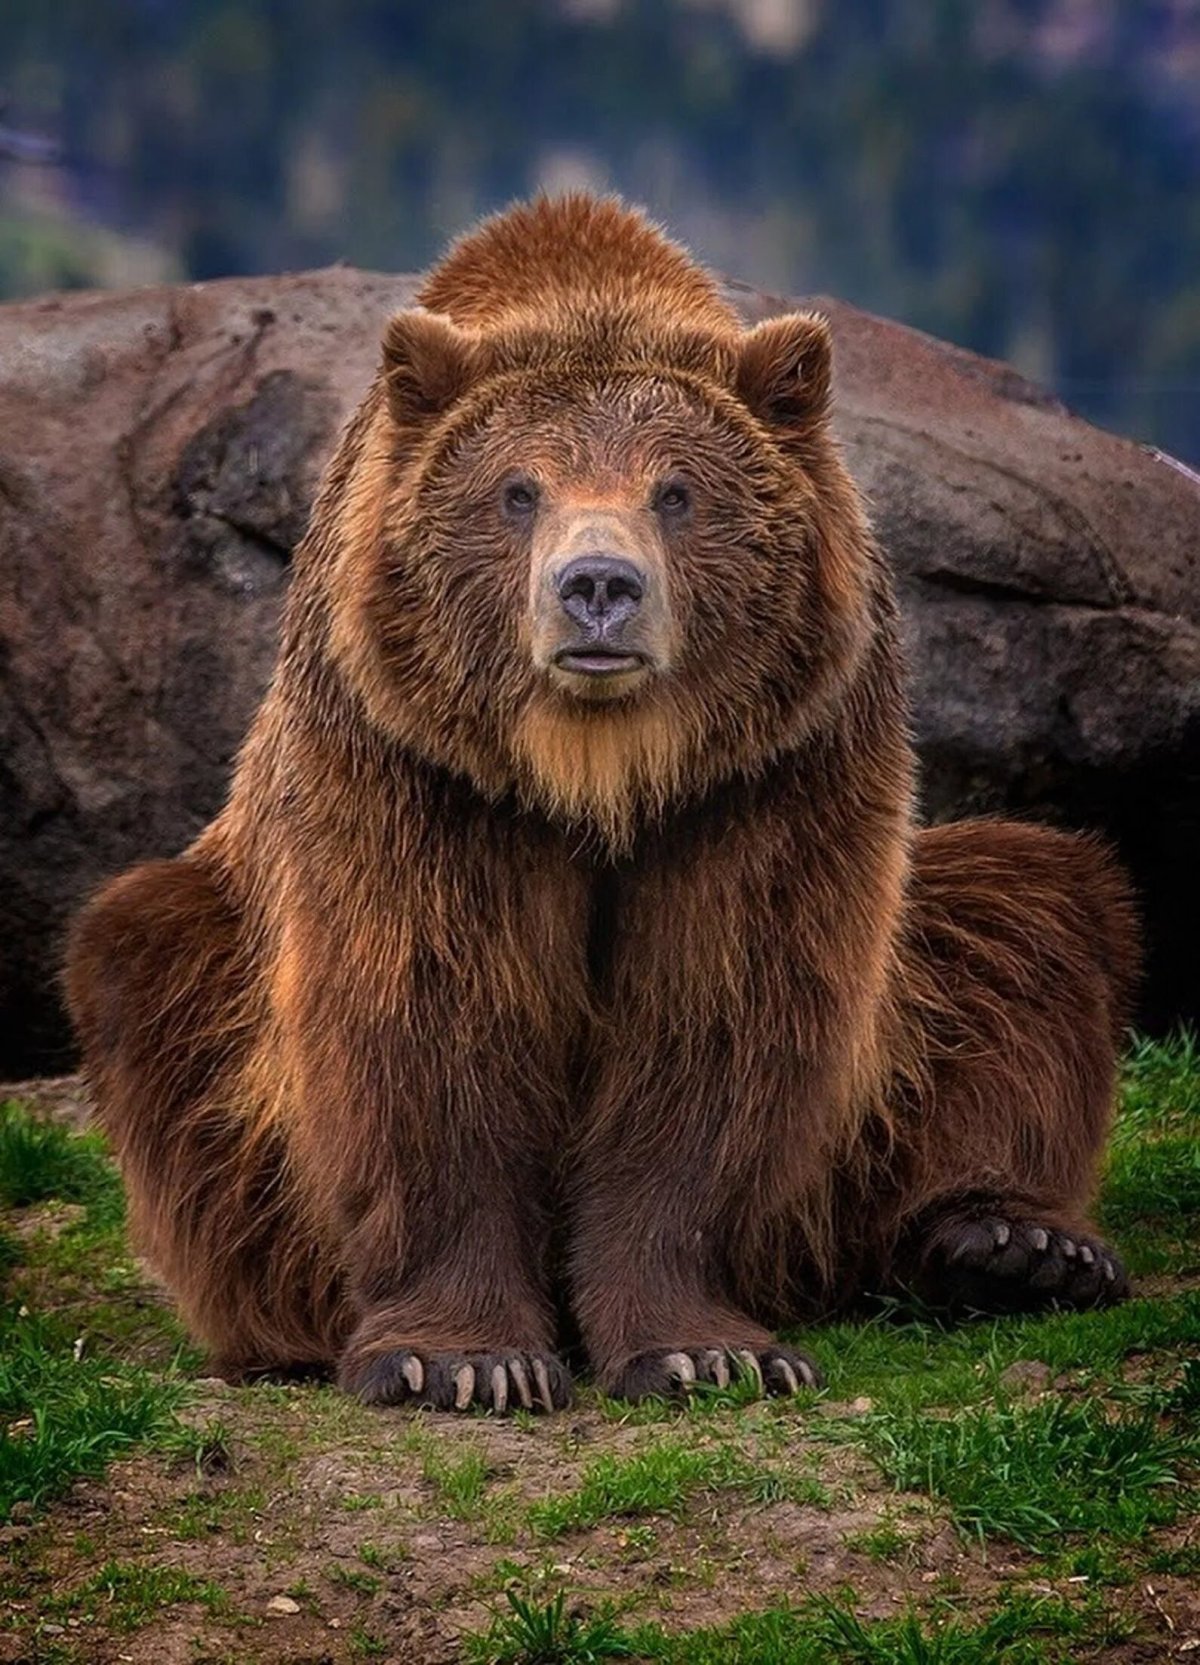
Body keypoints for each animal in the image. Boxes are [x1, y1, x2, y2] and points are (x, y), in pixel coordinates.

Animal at [65, 195, 1139, 1412]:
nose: (597, 588)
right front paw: (464, 1361)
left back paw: (1015, 1243)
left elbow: (714, 1026)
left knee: (1026, 915)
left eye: (676, 491)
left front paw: (710, 1349)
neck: (598, 775)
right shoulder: (423, 776)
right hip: (224, 946)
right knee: (149, 961)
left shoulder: (764, 779)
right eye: (516, 490)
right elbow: (432, 1022)